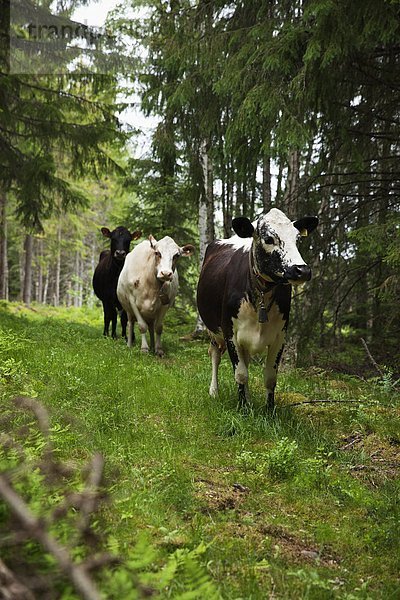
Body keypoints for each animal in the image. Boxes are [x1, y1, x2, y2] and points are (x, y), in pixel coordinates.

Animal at [195, 207, 318, 412]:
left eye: (298, 239)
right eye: (269, 239)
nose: (302, 270)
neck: (261, 295)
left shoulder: (280, 335)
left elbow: (269, 377)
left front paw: (269, 410)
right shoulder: (230, 333)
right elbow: (241, 374)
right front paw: (242, 408)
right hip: (212, 330)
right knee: (215, 355)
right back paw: (214, 391)